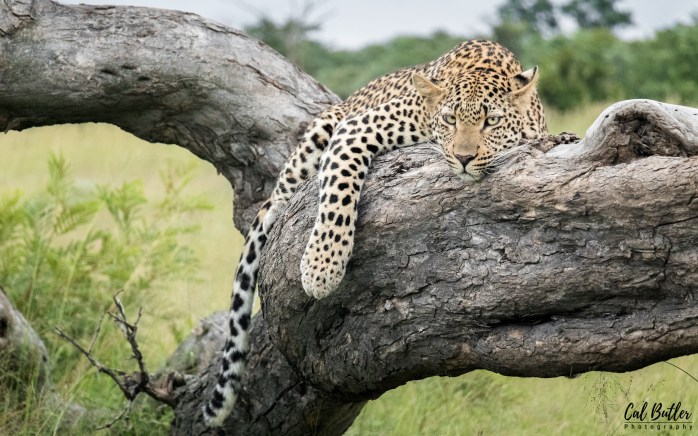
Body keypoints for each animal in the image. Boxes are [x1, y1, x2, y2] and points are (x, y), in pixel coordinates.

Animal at [203, 39, 547, 427]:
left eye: (492, 121)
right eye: (450, 119)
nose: (463, 158)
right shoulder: (357, 127)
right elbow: (338, 188)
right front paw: (321, 268)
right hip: (317, 137)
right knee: (277, 199)